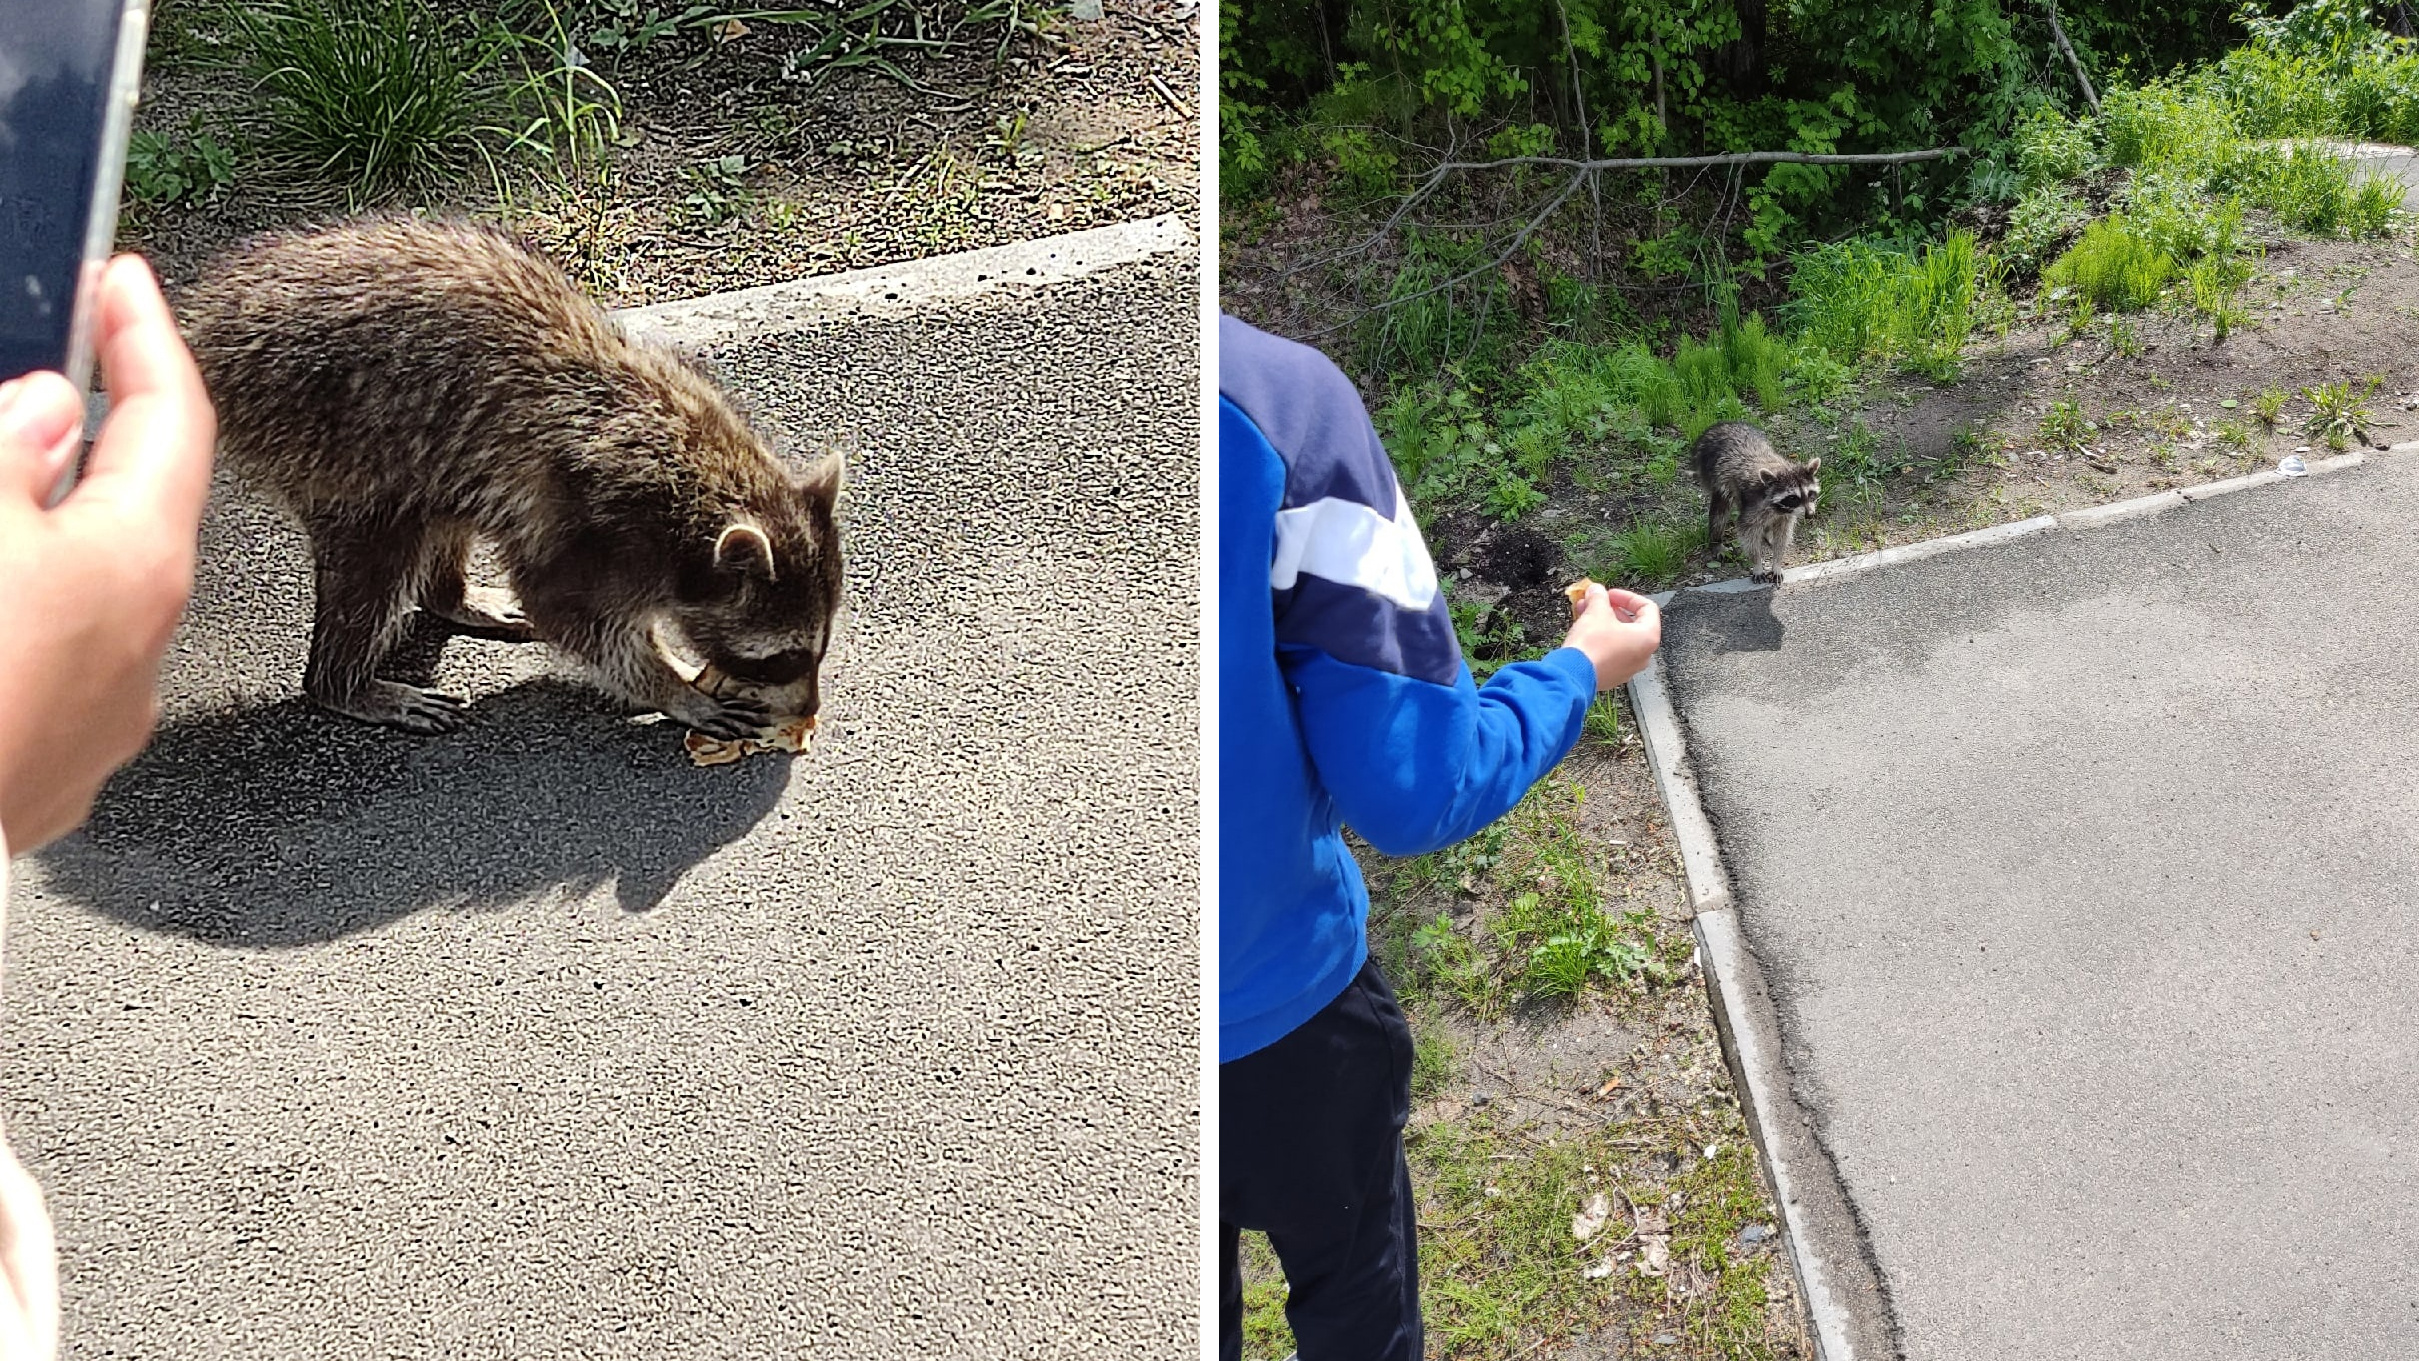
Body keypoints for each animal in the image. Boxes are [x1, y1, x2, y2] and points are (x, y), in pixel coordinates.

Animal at [176, 217, 841, 739]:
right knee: (379, 557)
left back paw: (450, 596)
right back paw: (343, 681)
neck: (708, 485)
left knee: (440, 511)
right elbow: (572, 616)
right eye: (783, 656)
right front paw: (674, 686)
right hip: (326, 433)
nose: (807, 709)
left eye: (820, 644)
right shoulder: (602, 525)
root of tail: (201, 326)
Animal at [1693, 418, 1819, 582]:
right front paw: (1757, 563)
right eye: (1793, 498)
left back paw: (1768, 534)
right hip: (1715, 475)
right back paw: (1716, 541)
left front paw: (1777, 561)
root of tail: (1724, 424)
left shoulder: (1786, 515)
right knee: (1719, 513)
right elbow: (1748, 532)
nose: (1810, 514)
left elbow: (1783, 534)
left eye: (1810, 494)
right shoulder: (1753, 507)